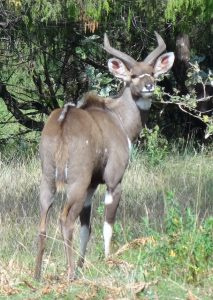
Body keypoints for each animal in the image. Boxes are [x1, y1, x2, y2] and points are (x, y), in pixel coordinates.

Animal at [34, 31, 175, 280]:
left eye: (151, 71)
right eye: (133, 75)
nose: (149, 85)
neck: (118, 119)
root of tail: (62, 121)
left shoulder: (92, 186)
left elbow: (86, 227)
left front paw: (84, 265)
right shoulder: (113, 180)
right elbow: (107, 224)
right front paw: (108, 261)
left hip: (48, 178)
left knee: (43, 222)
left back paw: (37, 275)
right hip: (76, 182)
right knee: (65, 219)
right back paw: (70, 273)